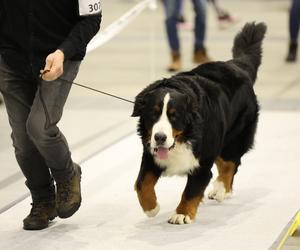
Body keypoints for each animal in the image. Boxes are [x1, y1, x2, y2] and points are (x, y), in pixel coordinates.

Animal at [132, 22, 266, 224]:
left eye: (174, 116)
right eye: (153, 114)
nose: (160, 137)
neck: (183, 139)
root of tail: (237, 66)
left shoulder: (202, 162)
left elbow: (191, 190)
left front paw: (182, 213)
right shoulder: (150, 154)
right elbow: (142, 183)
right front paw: (151, 208)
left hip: (233, 138)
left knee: (230, 164)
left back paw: (220, 189)